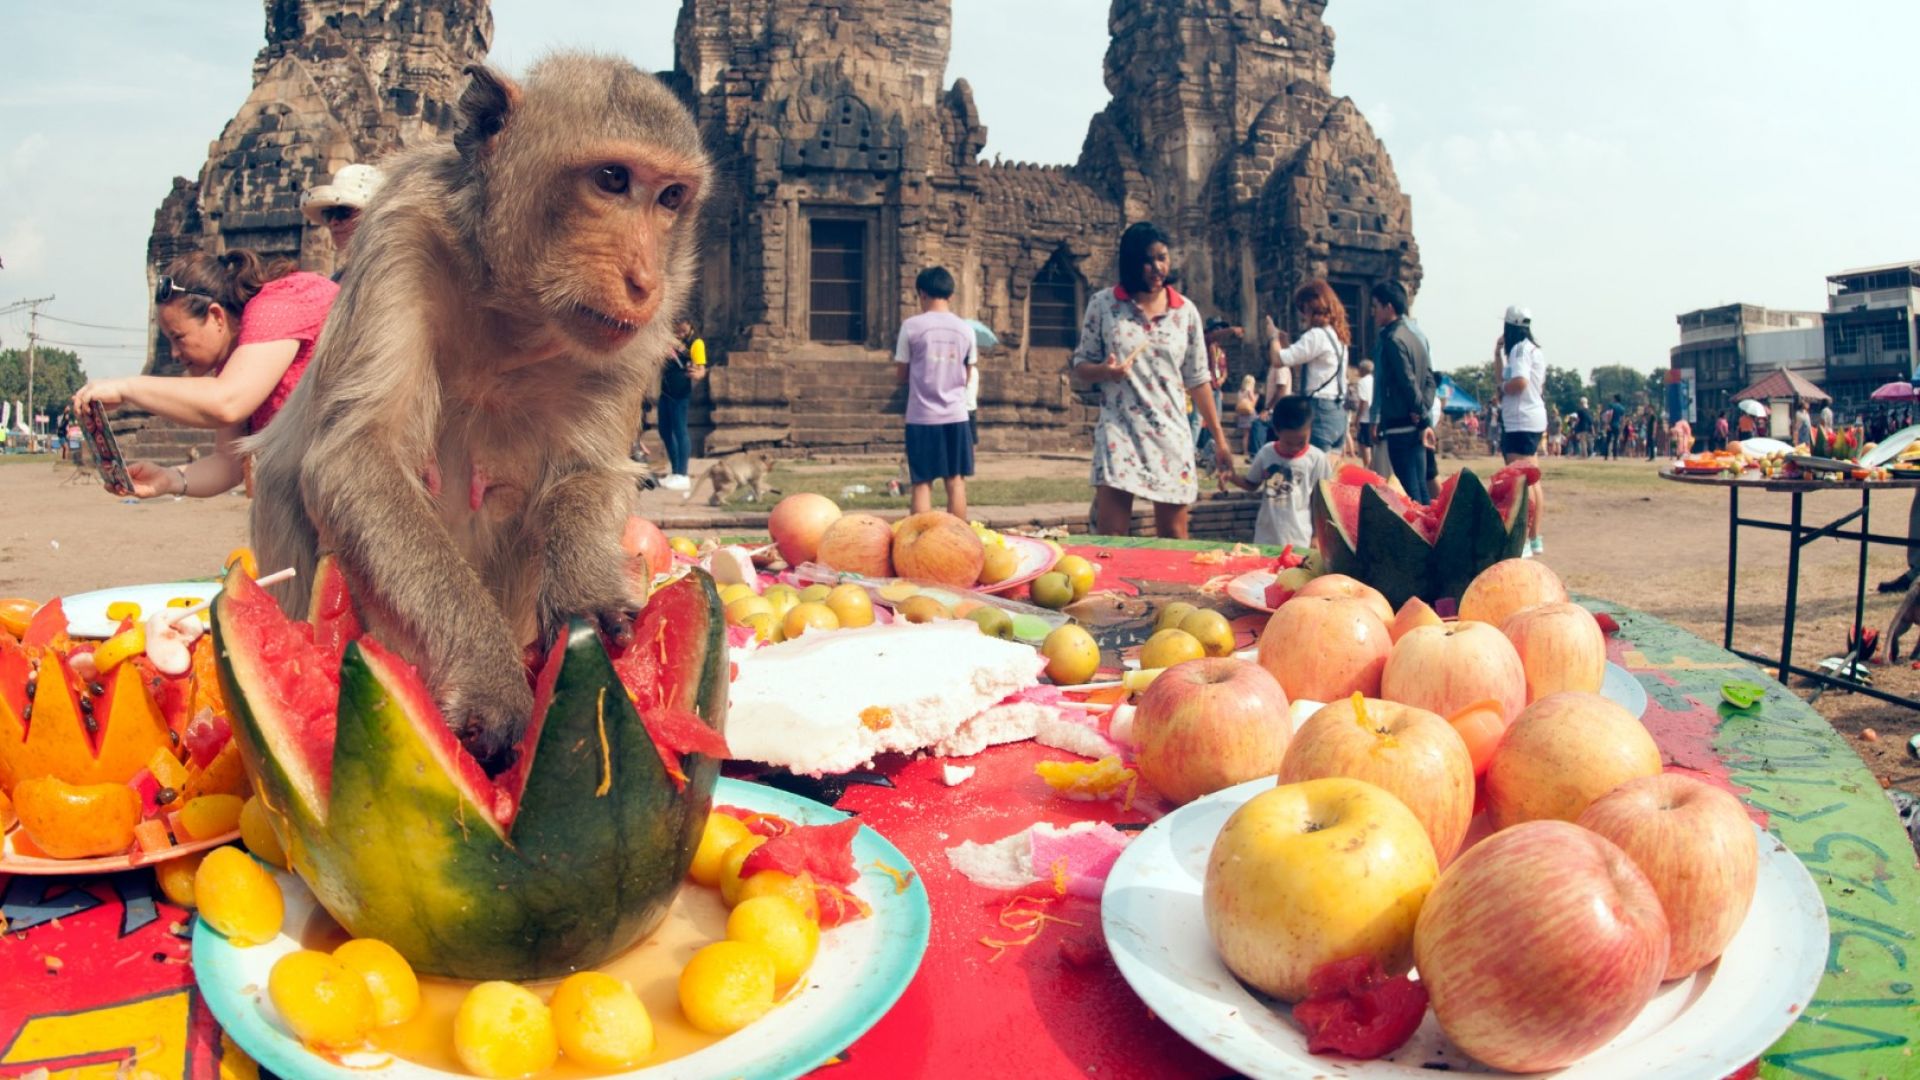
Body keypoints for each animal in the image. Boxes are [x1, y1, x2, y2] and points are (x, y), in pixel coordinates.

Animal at [245, 54, 714, 768]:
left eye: (670, 198)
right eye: (612, 179)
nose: (642, 281)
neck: (515, 309)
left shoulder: (645, 328)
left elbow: (591, 471)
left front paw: (585, 595)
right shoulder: (401, 234)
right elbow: (358, 454)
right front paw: (489, 676)